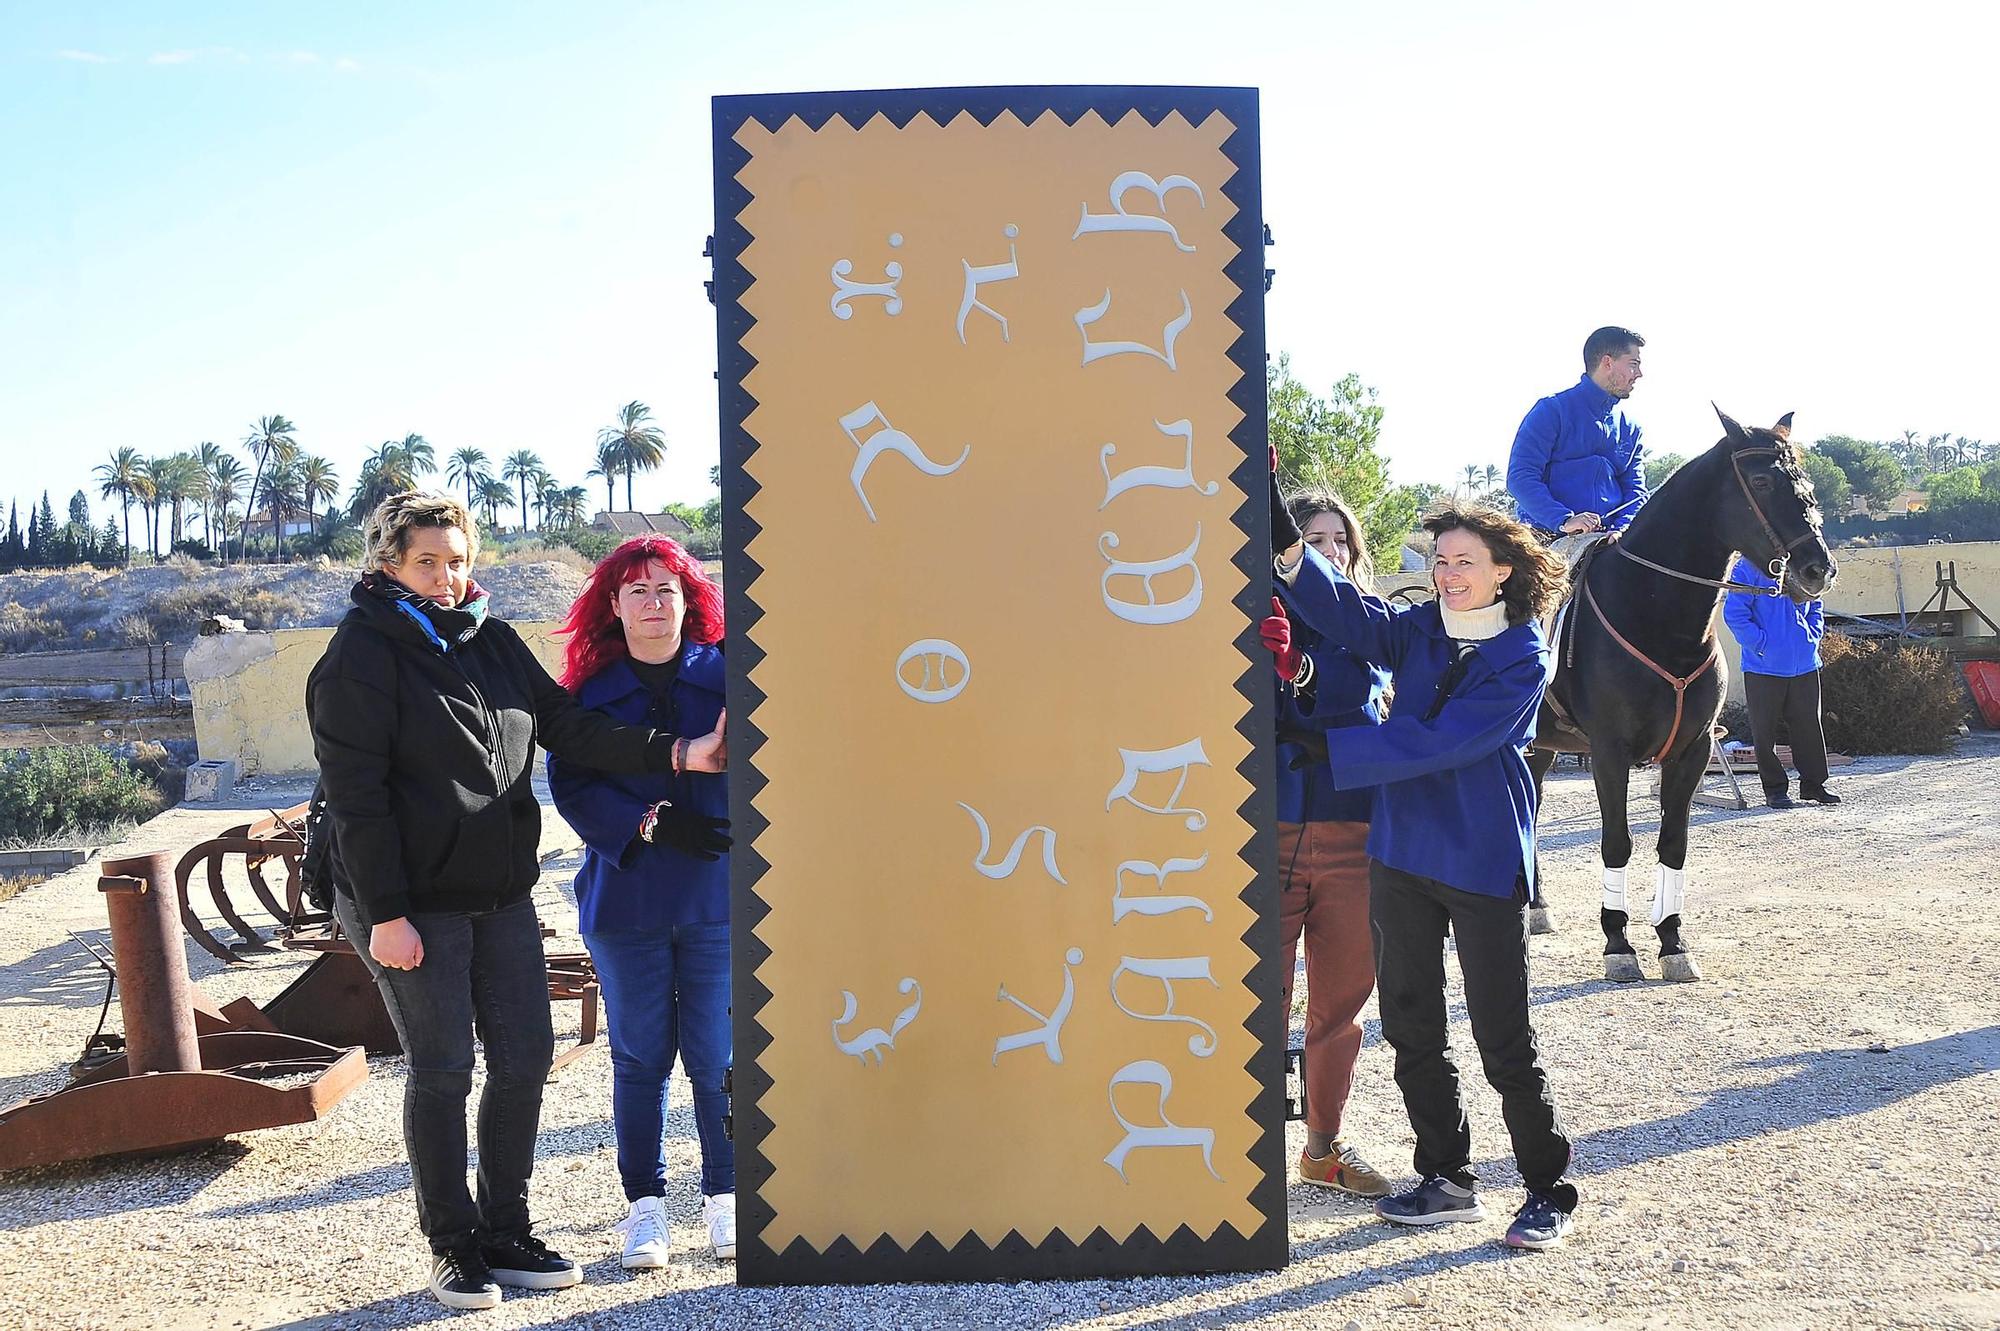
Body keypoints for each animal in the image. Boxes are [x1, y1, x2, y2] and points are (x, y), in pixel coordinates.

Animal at [1536, 409, 1832, 979]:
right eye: (1761, 481)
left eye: (1805, 482)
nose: (1818, 567)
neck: (1655, 613)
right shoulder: (1609, 753)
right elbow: (1617, 841)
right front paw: (1618, 944)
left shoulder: (1692, 750)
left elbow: (1673, 842)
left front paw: (1672, 941)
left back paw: (1535, 906)